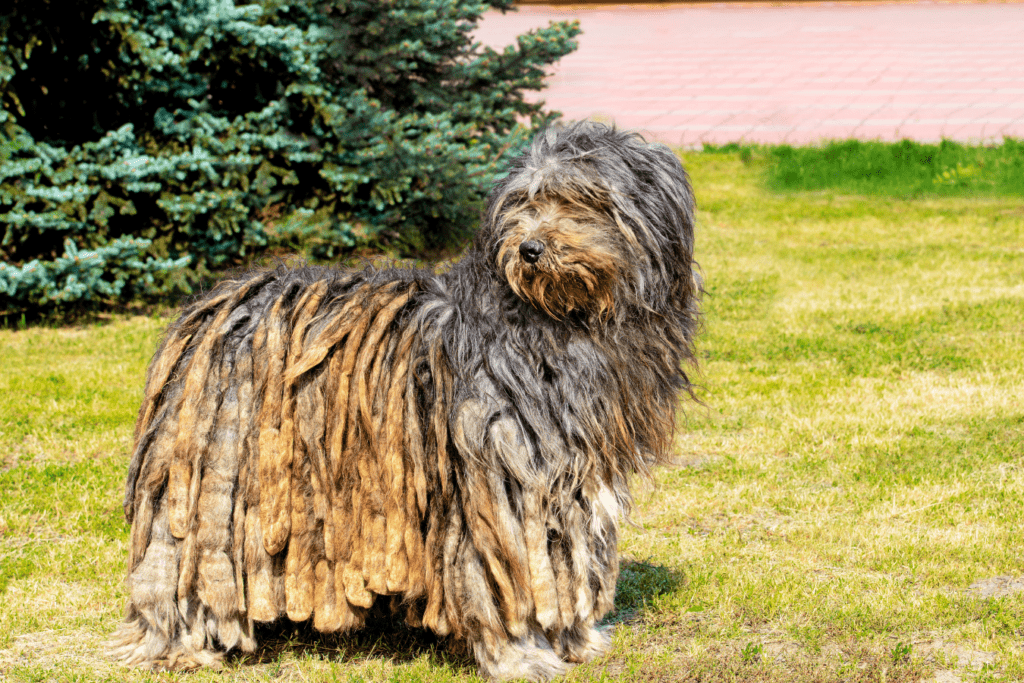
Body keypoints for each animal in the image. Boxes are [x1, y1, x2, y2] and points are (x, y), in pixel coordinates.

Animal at [114, 120, 704, 679]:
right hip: (210, 481)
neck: (559, 322)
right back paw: (179, 644)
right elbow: (502, 577)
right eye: (525, 202)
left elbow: (569, 559)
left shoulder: (573, 476)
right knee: (177, 563)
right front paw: (520, 656)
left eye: (581, 198)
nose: (530, 249)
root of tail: (214, 307)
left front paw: (577, 639)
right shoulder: (494, 476)